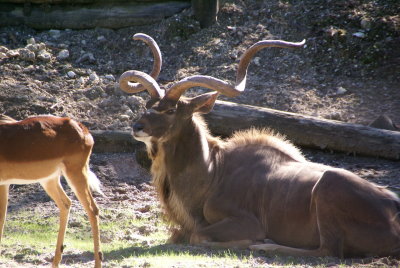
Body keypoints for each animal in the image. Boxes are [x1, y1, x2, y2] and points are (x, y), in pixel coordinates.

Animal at [0, 114, 103, 266]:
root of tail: (81, 128)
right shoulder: (4, 184)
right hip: (49, 180)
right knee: (66, 203)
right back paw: (55, 261)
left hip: (75, 172)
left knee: (92, 209)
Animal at [119, 33, 400, 258]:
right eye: (147, 105)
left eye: (170, 110)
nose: (137, 127)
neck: (213, 171)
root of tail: (393, 208)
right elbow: (179, 235)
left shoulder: (246, 222)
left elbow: (198, 236)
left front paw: (249, 242)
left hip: (329, 186)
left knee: (327, 251)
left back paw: (265, 245)